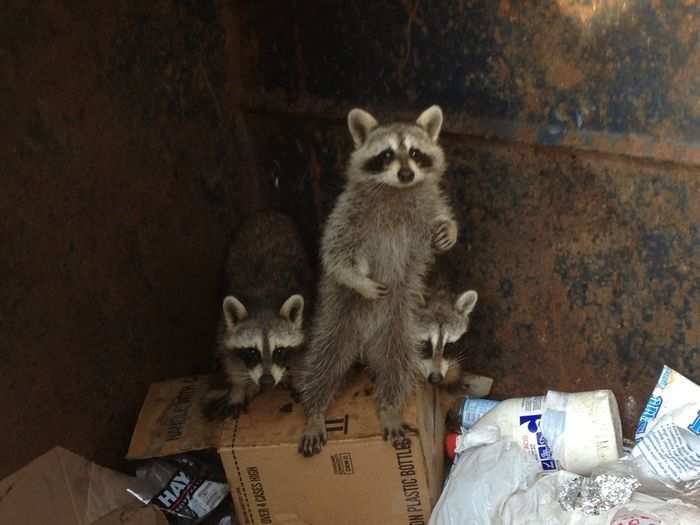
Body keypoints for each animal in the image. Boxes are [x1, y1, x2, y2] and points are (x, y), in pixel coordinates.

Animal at [204, 211, 310, 420]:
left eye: (279, 351)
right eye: (252, 351)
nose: (267, 382)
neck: (264, 302)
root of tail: (266, 212)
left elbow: (306, 353)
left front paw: (298, 378)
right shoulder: (223, 329)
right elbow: (231, 360)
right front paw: (237, 390)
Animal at [296, 105, 456, 454]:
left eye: (415, 153)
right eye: (386, 155)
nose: (407, 174)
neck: (397, 191)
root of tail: (364, 345)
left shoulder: (426, 207)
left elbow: (441, 220)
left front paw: (449, 231)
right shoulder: (346, 214)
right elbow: (336, 254)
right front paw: (359, 280)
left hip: (400, 331)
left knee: (399, 369)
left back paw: (390, 409)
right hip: (337, 322)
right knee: (322, 364)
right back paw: (314, 411)